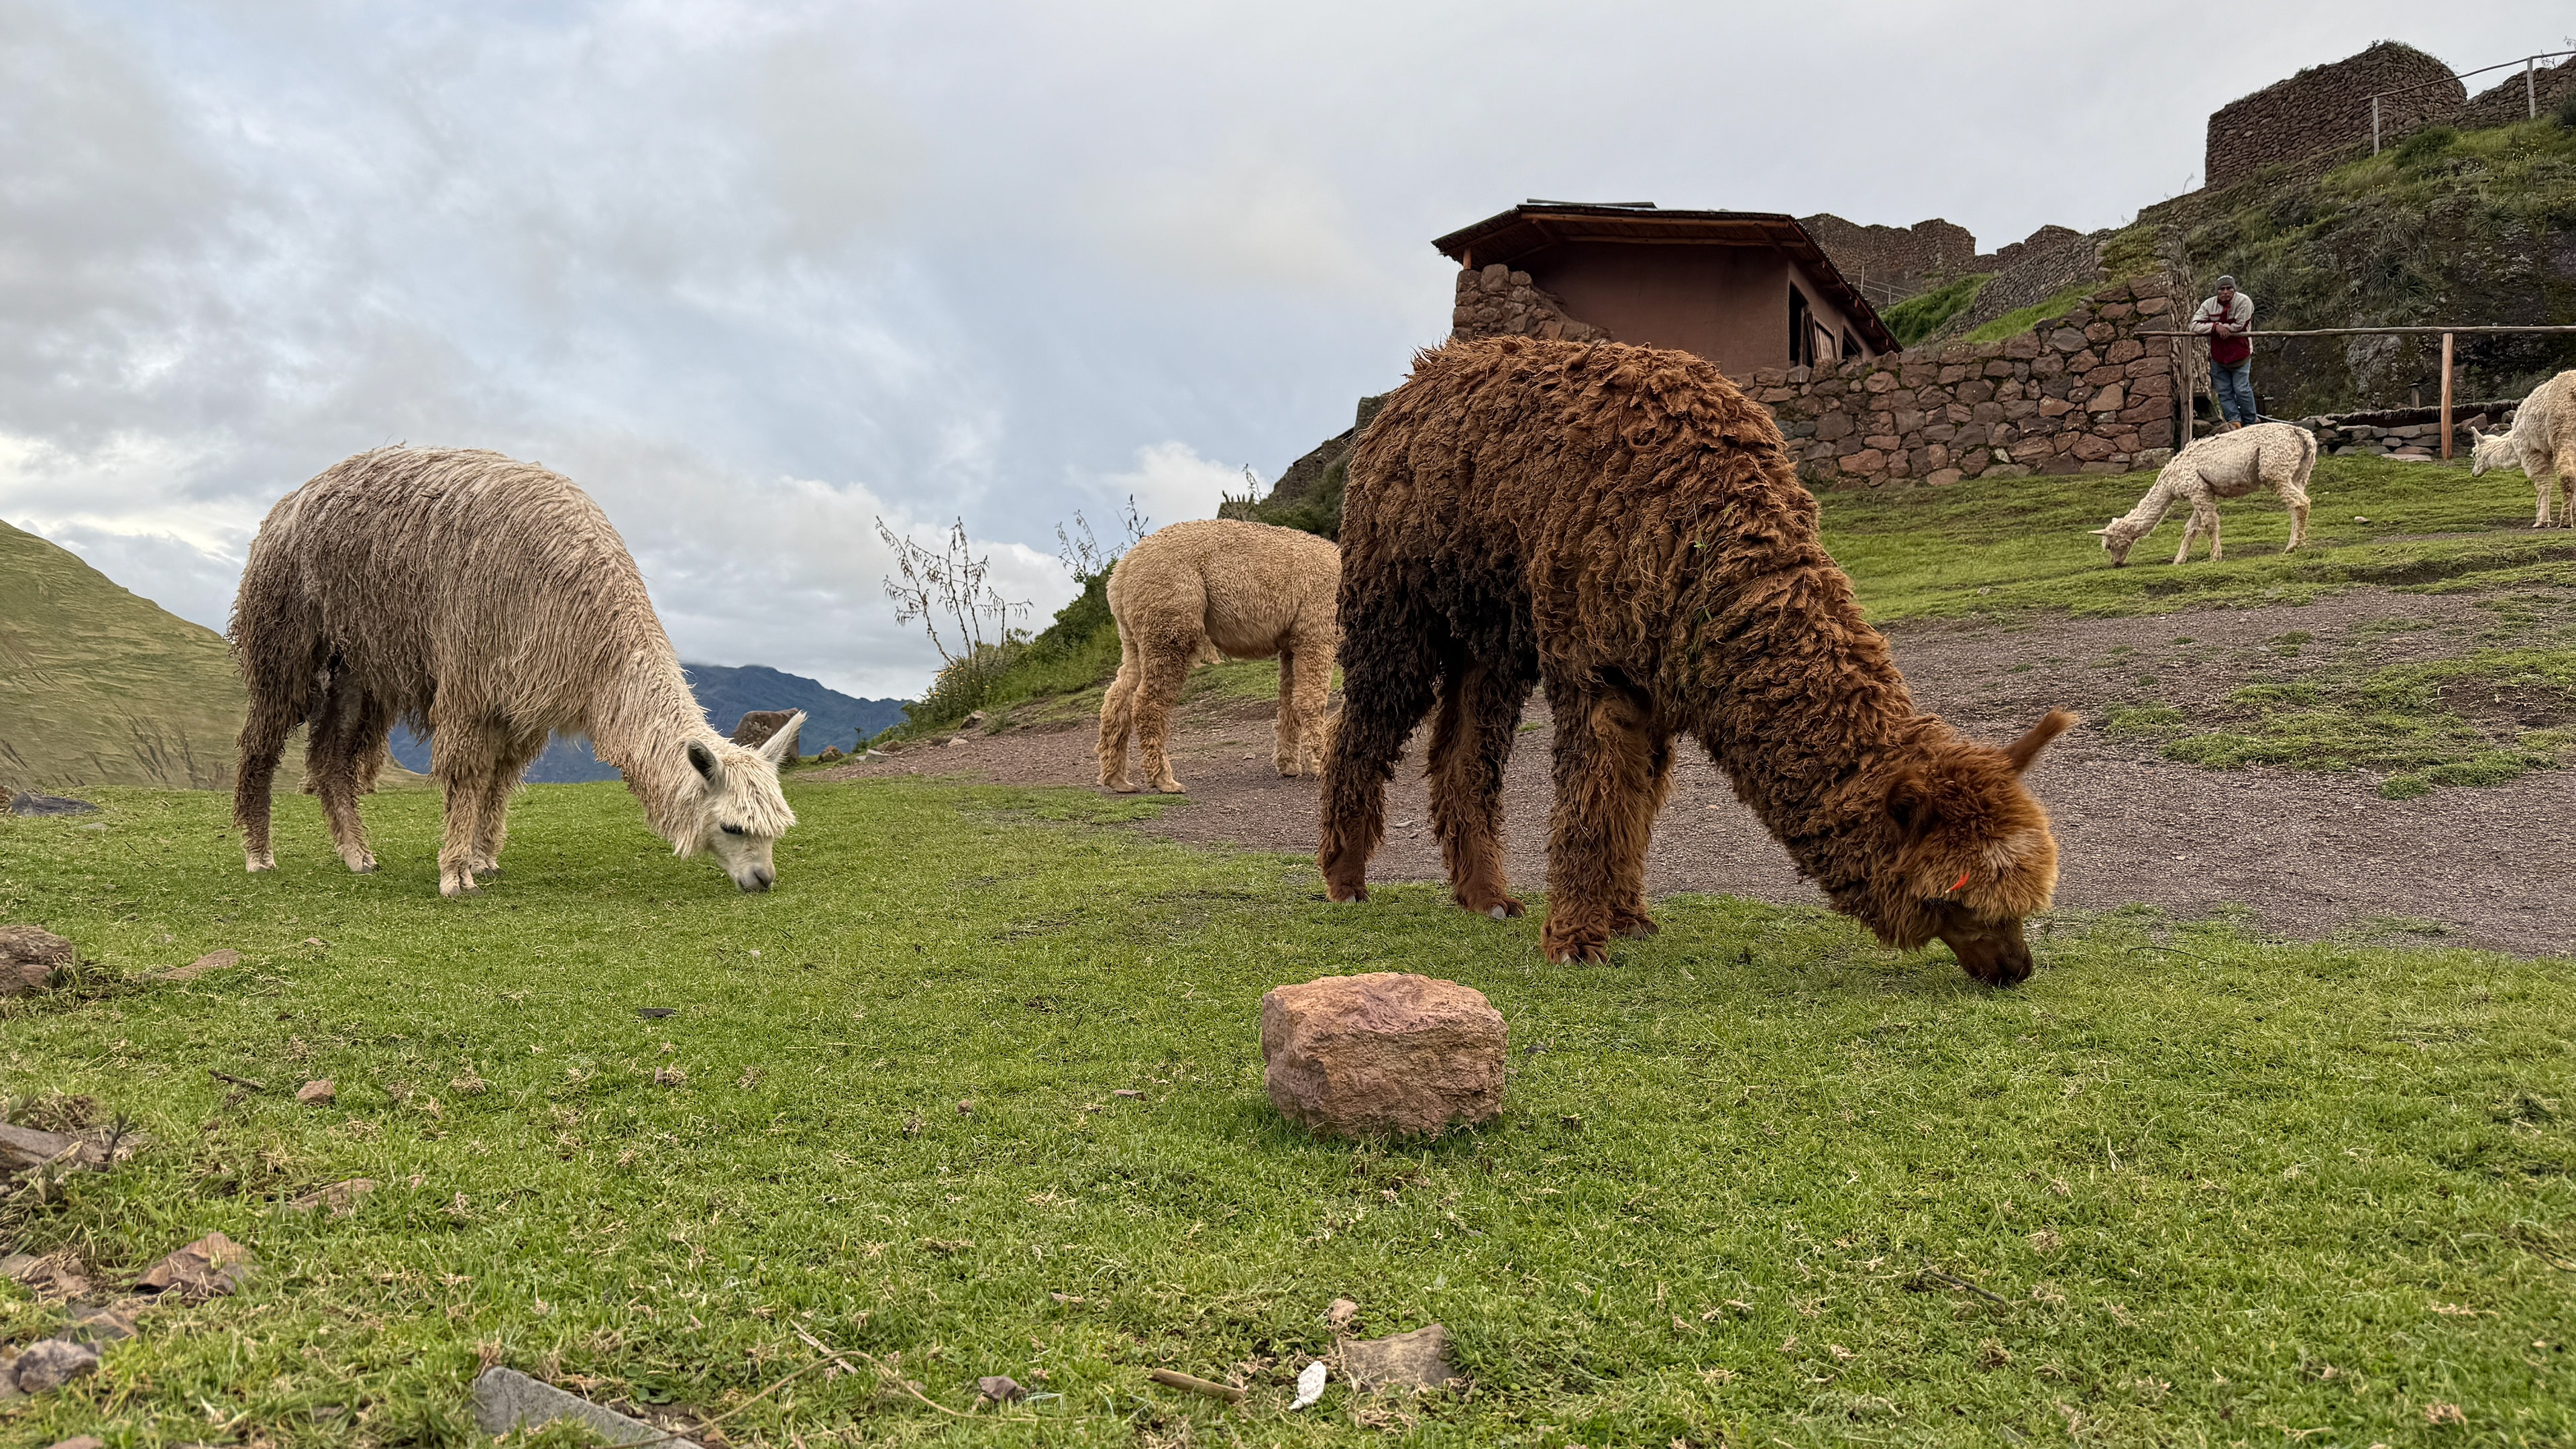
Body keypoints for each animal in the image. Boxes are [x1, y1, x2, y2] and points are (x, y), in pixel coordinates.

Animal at [230, 447, 802, 897]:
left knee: (331, 759)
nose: (763, 880)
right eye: (732, 826)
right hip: (284, 634)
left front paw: (484, 858)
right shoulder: (471, 678)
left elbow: (499, 778)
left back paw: (356, 855)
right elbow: (467, 774)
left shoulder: (523, 699)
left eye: (777, 829)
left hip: (361, 667)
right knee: (261, 740)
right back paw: (259, 855)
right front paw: (455, 875)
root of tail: (285, 505)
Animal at [1098, 519, 1339, 794]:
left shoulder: (1290, 643)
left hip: (1134, 636)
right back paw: (1164, 780)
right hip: (1170, 616)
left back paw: (1118, 779)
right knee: (1147, 701)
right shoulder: (1317, 631)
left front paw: (1288, 766)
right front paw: (1319, 764)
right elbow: (1310, 701)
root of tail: (1122, 571)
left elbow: (1288, 703)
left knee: (1117, 697)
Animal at [1318, 337, 2075, 985]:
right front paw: (1576, 942)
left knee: (1463, 752)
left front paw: (1626, 916)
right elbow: (1591, 801)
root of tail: (1419, 376)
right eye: (1956, 893)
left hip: (1492, 628)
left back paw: (1486, 895)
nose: (2016, 969)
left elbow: (1633, 803)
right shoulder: (1595, 664)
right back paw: (1345, 880)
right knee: (1364, 726)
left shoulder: (1657, 678)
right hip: (1396, 600)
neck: (1708, 537)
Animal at [2093, 422, 2316, 565]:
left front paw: (2215, 557)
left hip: (2274, 469)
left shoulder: (2197, 489)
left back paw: (2292, 546)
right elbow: (2191, 529)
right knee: (2297, 505)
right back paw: (2299, 544)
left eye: (2109, 545)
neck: (2169, 482)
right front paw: (2179, 560)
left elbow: (2209, 523)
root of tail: (2301, 434)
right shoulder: (2202, 491)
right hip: (2299, 473)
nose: (2115, 563)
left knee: (2300, 502)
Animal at [2470, 369, 2576, 527]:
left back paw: (2565, 521)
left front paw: (2542, 521)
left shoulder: (2532, 451)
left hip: (2564, 433)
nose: (2474, 473)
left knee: (2567, 476)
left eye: (2474, 454)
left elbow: (2543, 484)